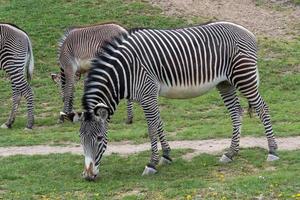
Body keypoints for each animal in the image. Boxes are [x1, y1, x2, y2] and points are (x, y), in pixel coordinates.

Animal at [78, 21, 278, 181]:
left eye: (100, 138)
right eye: (80, 139)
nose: (88, 176)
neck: (125, 70)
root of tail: (246, 31)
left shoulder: (148, 93)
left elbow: (152, 128)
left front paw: (151, 164)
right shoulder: (148, 96)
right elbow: (159, 123)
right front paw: (166, 156)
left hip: (243, 77)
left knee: (263, 109)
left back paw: (272, 151)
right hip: (225, 83)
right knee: (236, 112)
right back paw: (230, 153)